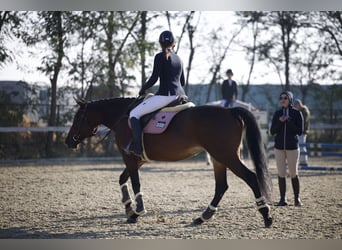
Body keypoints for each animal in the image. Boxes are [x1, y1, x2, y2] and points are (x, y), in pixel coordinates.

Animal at [64, 96, 272, 228]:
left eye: (78, 117)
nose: (68, 141)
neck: (123, 116)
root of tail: (230, 111)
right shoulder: (137, 160)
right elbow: (122, 178)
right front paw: (128, 206)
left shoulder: (129, 157)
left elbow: (135, 182)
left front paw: (137, 212)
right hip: (218, 158)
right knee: (221, 186)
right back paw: (202, 217)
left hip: (226, 155)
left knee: (251, 178)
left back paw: (266, 214)